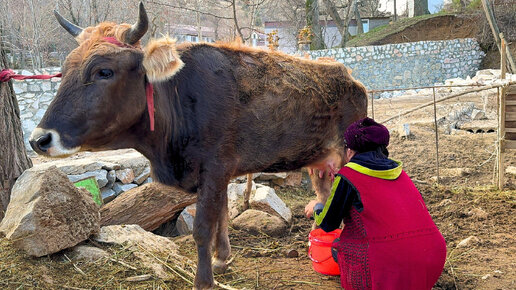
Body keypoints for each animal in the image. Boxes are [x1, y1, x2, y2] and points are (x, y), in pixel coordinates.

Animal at [29, 3, 366, 288]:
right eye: (64, 70)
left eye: (104, 71)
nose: (39, 139)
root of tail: (349, 75)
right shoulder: (219, 174)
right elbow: (223, 217)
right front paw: (222, 260)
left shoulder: (215, 168)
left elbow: (204, 227)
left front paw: (203, 280)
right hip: (320, 163)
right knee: (324, 197)